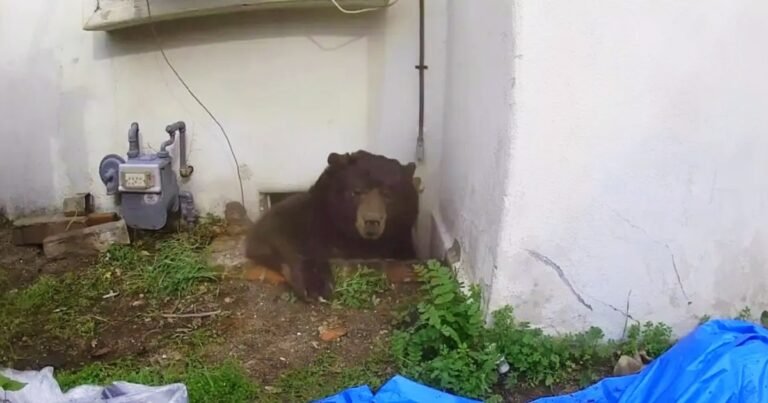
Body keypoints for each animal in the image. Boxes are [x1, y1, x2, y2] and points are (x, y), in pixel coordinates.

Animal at [244, 150, 420, 301]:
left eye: (388, 195)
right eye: (357, 191)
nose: (372, 221)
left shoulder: (400, 241)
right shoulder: (313, 216)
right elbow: (271, 229)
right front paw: (315, 284)